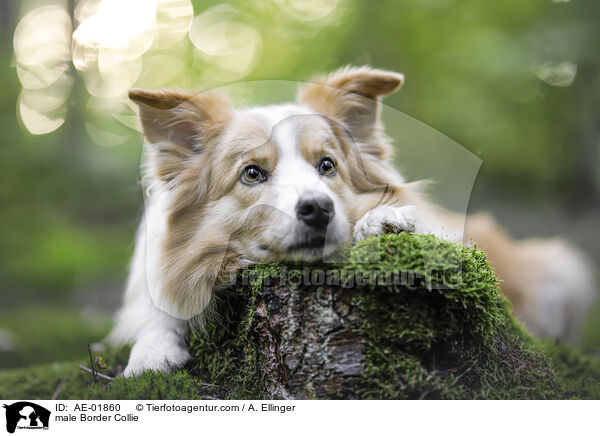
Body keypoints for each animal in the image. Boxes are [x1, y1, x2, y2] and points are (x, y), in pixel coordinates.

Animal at [106, 66, 596, 376]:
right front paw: (147, 356)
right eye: (252, 173)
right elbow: (157, 310)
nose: (317, 209)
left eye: (328, 165)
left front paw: (382, 219)